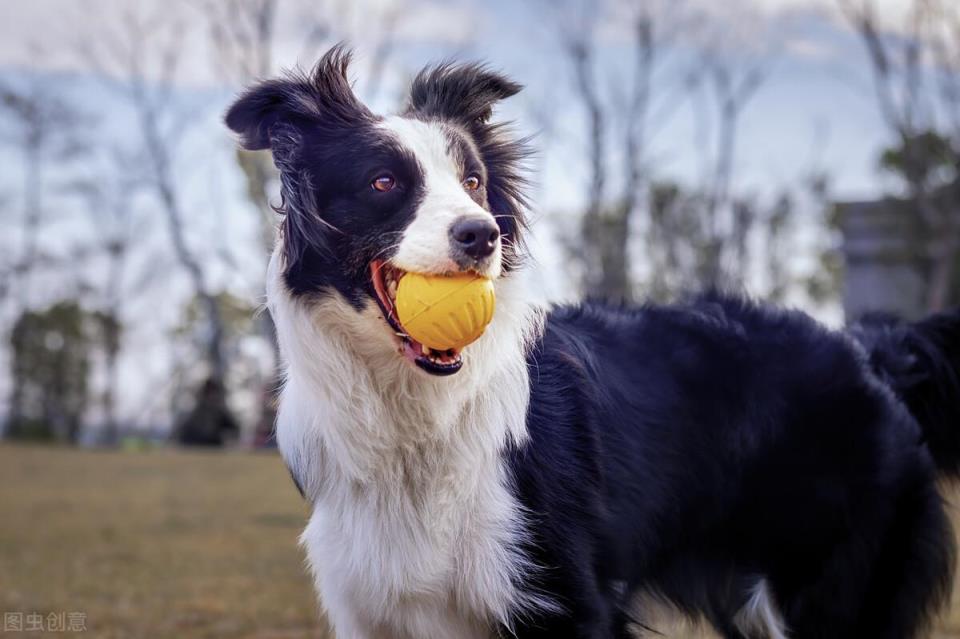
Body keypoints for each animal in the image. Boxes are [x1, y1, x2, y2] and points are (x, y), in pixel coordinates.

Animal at [225, 47, 960, 636]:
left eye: (473, 183)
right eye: (384, 183)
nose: (482, 235)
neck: (414, 414)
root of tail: (871, 349)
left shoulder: (564, 596)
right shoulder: (375, 607)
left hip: (839, 587)